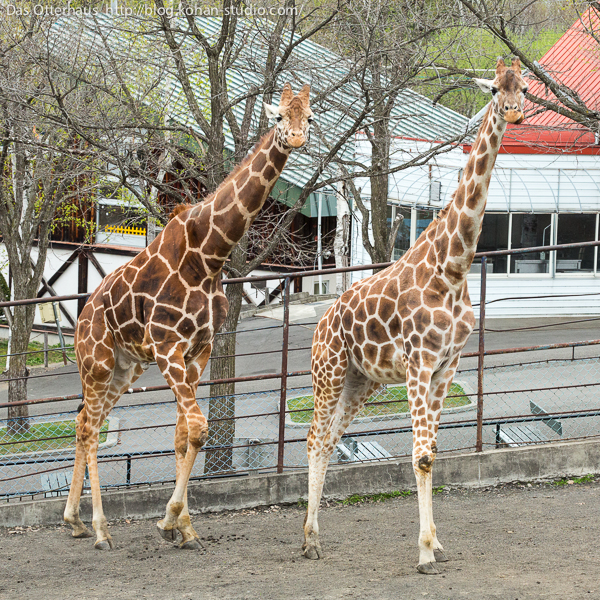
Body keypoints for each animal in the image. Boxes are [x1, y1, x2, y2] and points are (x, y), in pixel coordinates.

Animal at [62, 82, 312, 552]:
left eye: (308, 117)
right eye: (277, 116)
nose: (295, 137)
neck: (209, 255)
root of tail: (82, 317)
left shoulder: (198, 351)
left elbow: (183, 435)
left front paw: (184, 527)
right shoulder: (168, 348)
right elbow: (197, 428)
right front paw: (170, 521)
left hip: (124, 368)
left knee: (88, 422)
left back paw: (74, 521)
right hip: (97, 362)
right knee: (89, 428)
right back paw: (101, 530)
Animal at [302, 58, 528, 576]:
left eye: (523, 87)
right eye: (493, 89)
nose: (514, 112)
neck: (453, 266)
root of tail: (320, 326)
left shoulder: (448, 367)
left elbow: (434, 453)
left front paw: (438, 543)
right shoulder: (419, 364)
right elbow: (421, 457)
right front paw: (424, 552)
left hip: (360, 381)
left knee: (329, 440)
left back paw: (313, 539)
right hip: (328, 373)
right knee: (313, 440)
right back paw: (307, 541)